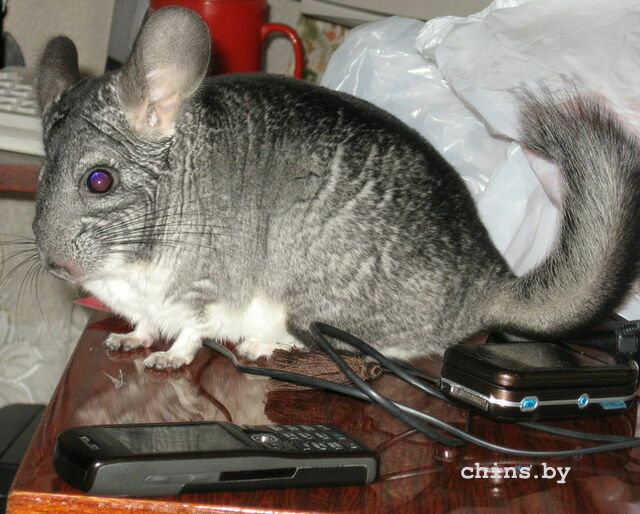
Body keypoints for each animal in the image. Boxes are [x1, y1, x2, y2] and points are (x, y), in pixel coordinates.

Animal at [32, 6, 640, 370]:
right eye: (42, 176)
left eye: (99, 180)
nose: (54, 266)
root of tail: (486, 283)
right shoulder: (146, 301)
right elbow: (142, 323)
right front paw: (127, 340)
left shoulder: (206, 286)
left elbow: (191, 331)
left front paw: (166, 359)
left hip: (311, 290)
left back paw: (262, 344)